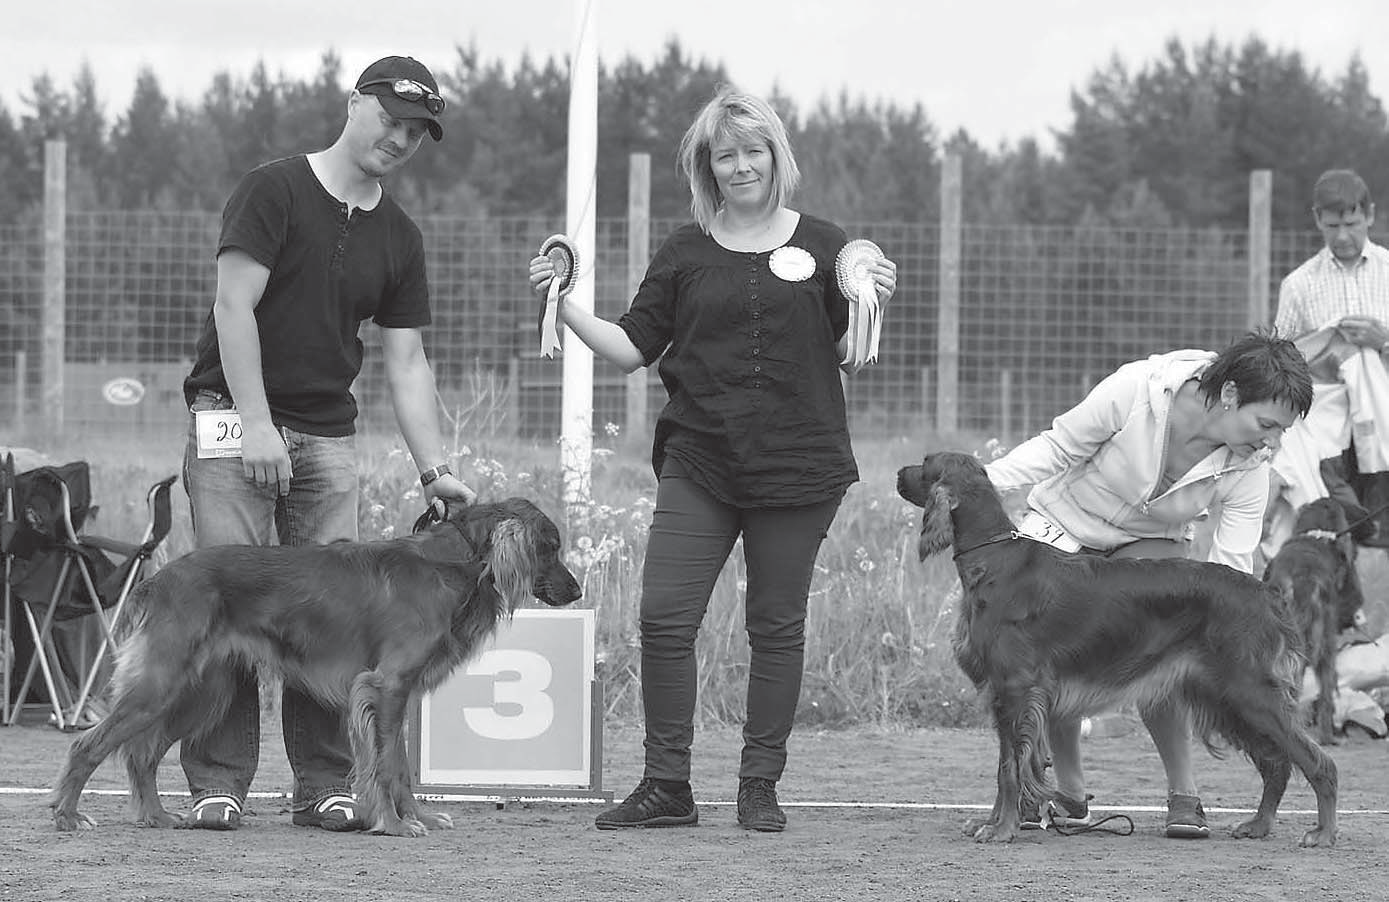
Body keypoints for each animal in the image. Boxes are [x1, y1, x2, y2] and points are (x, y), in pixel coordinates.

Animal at [48, 494, 580, 833]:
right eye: (549, 548)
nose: (577, 592)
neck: (451, 560)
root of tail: (158, 579)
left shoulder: (397, 694)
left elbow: (401, 765)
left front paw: (419, 818)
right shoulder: (384, 686)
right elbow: (385, 764)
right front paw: (394, 825)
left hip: (199, 692)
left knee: (141, 755)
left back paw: (156, 817)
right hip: (163, 685)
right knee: (88, 746)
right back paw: (69, 816)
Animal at [894, 453, 1338, 850]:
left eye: (925, 463)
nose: (898, 472)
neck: (995, 560)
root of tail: (1266, 592)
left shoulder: (1014, 690)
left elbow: (1009, 769)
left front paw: (1001, 829)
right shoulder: (1009, 694)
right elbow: (1009, 765)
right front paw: (993, 822)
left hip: (1249, 692)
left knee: (1319, 762)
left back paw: (1323, 833)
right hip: (1228, 699)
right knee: (1277, 764)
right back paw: (1259, 825)